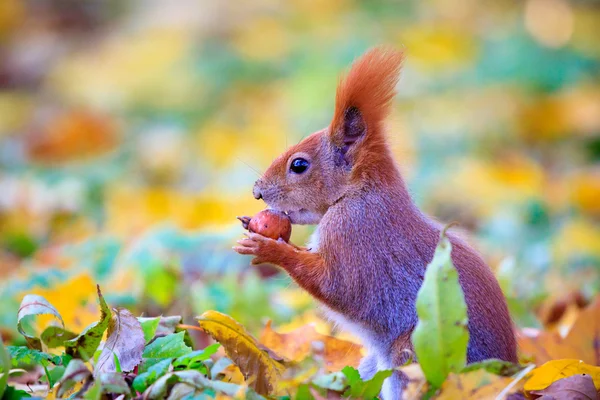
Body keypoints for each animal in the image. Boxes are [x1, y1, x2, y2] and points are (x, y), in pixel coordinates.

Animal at [233, 46, 516, 396]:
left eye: (298, 165)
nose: (257, 192)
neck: (360, 193)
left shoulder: (355, 235)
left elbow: (339, 287)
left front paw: (269, 249)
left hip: (412, 358)